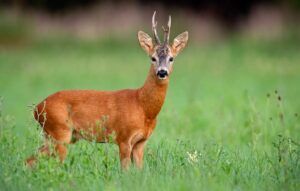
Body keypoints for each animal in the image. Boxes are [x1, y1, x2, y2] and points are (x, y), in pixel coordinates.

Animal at [27, 11, 189, 170]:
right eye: (153, 58)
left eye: (171, 58)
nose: (162, 72)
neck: (143, 106)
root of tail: (37, 108)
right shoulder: (124, 137)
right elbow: (125, 171)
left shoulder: (140, 142)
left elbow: (139, 171)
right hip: (59, 132)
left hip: (59, 135)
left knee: (31, 159)